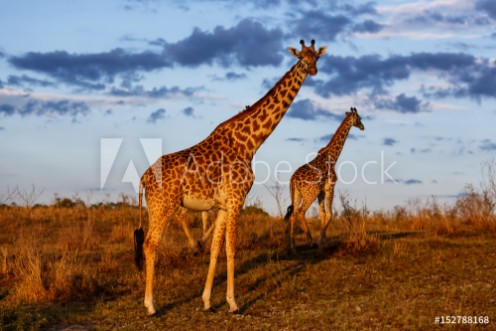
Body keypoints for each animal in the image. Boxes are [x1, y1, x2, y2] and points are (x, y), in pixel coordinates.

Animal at [135, 39, 330, 316]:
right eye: (302, 58)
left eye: (317, 57)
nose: (312, 70)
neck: (249, 143)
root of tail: (144, 178)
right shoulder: (238, 198)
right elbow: (231, 247)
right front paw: (233, 303)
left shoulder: (224, 205)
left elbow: (216, 249)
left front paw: (207, 301)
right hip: (164, 206)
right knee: (150, 244)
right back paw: (151, 306)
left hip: (154, 207)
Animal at [282, 107, 364, 253]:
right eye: (359, 118)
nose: (363, 127)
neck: (333, 156)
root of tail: (293, 180)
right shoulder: (330, 187)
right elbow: (330, 214)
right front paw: (320, 241)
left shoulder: (321, 192)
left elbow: (322, 214)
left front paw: (324, 239)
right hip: (310, 193)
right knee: (301, 212)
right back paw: (311, 241)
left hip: (296, 194)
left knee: (293, 214)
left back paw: (293, 247)